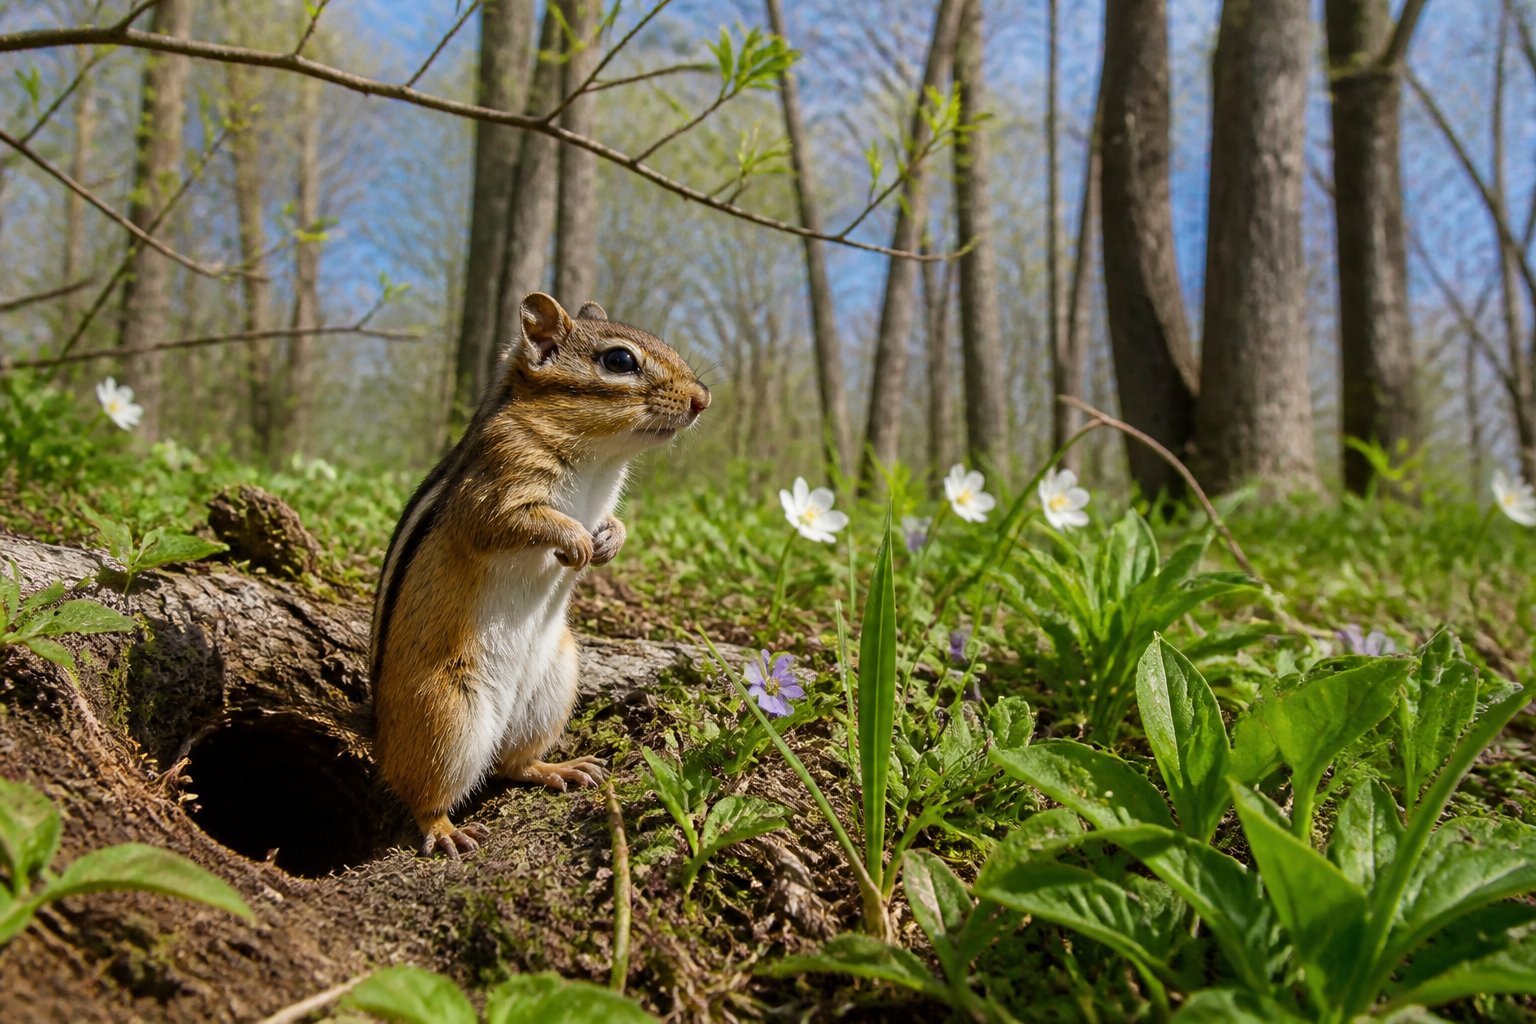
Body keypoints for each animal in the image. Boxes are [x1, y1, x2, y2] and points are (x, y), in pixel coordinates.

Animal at [369, 292, 710, 858]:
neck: (600, 458)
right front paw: (574, 541)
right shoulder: (496, 484)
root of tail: (379, 736)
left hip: (555, 683)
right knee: (422, 794)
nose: (703, 399)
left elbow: (613, 522)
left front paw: (608, 541)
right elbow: (505, 522)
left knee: (512, 765)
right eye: (620, 360)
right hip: (447, 718)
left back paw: (561, 769)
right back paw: (445, 829)